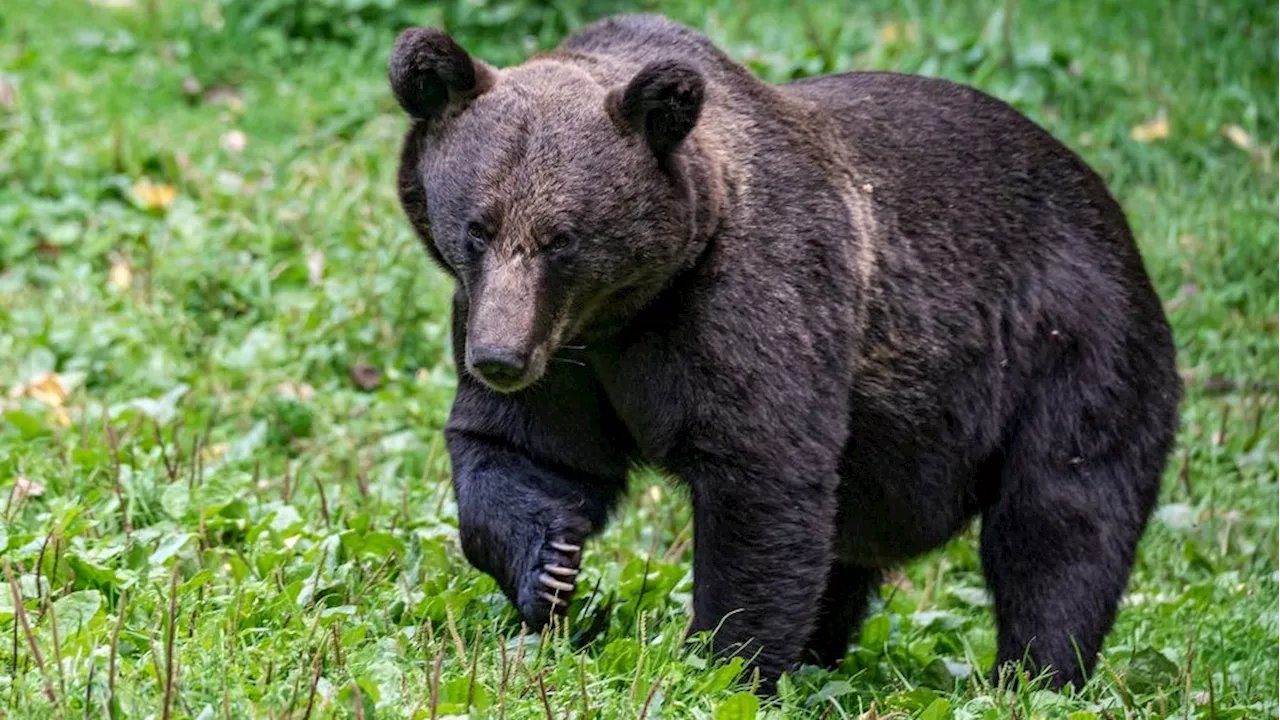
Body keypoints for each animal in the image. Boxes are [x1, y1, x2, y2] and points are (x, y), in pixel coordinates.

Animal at [386, 14, 1177, 691]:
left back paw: (1035, 673)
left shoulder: (755, 303)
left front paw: (721, 661)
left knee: (1059, 523)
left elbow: (763, 480)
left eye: (562, 239)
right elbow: (527, 450)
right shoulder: (568, 348)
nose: (499, 359)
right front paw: (551, 567)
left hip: (1074, 352)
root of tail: (1114, 213)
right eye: (478, 229)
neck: (637, 302)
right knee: (849, 555)